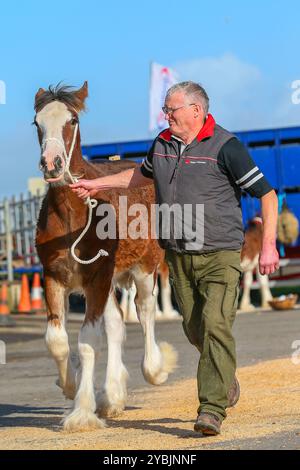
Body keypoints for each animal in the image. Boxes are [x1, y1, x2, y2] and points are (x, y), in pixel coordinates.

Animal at [34, 82, 177, 432]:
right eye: (37, 123)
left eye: (72, 120)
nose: (52, 164)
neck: (74, 214)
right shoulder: (54, 276)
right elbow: (57, 340)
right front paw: (69, 385)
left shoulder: (97, 277)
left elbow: (88, 341)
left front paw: (82, 413)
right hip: (108, 282)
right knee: (115, 325)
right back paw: (112, 397)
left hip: (144, 268)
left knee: (144, 311)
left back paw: (155, 368)